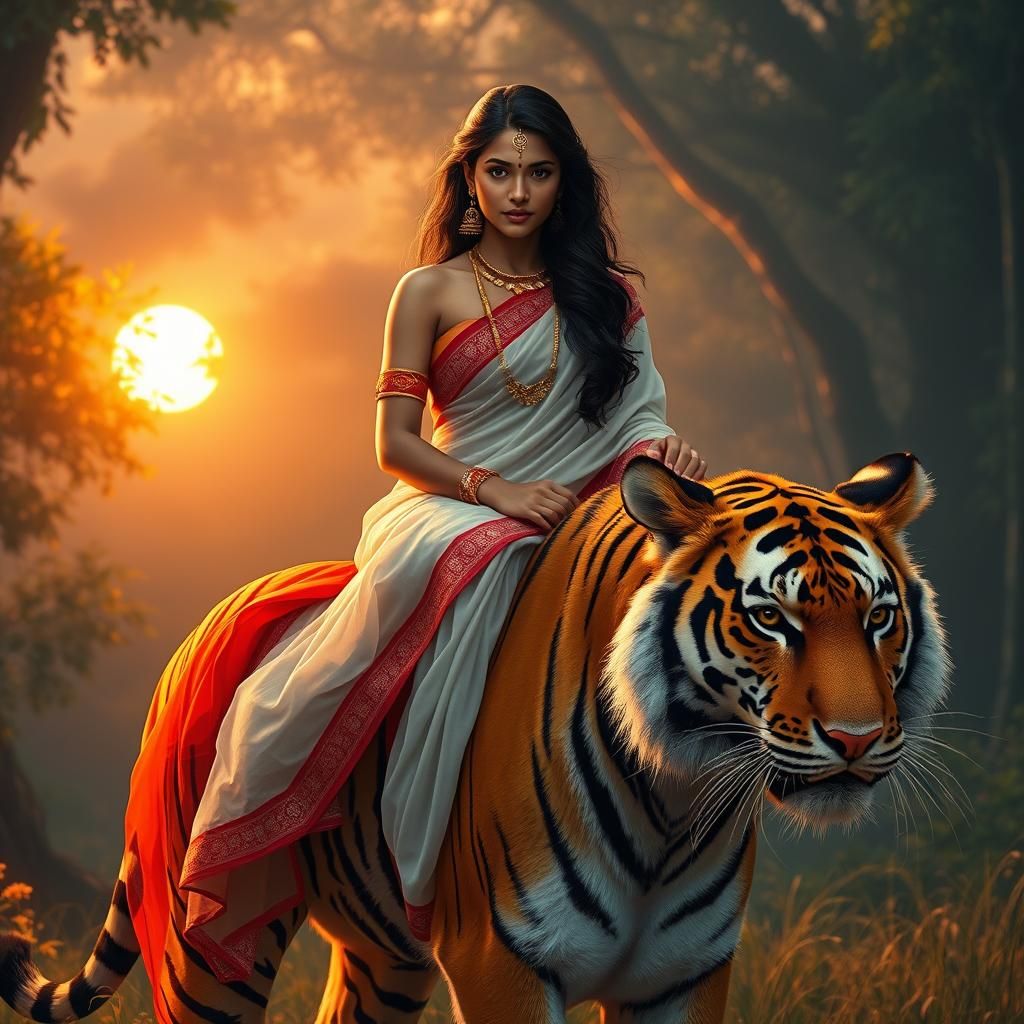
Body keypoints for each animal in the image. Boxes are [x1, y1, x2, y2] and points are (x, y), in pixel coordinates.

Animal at [0, 450, 951, 1024]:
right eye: (770, 619)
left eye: (878, 618)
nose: (857, 739)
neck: (674, 803)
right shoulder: (504, 961)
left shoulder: (686, 973)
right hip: (215, 941)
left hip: (386, 958)